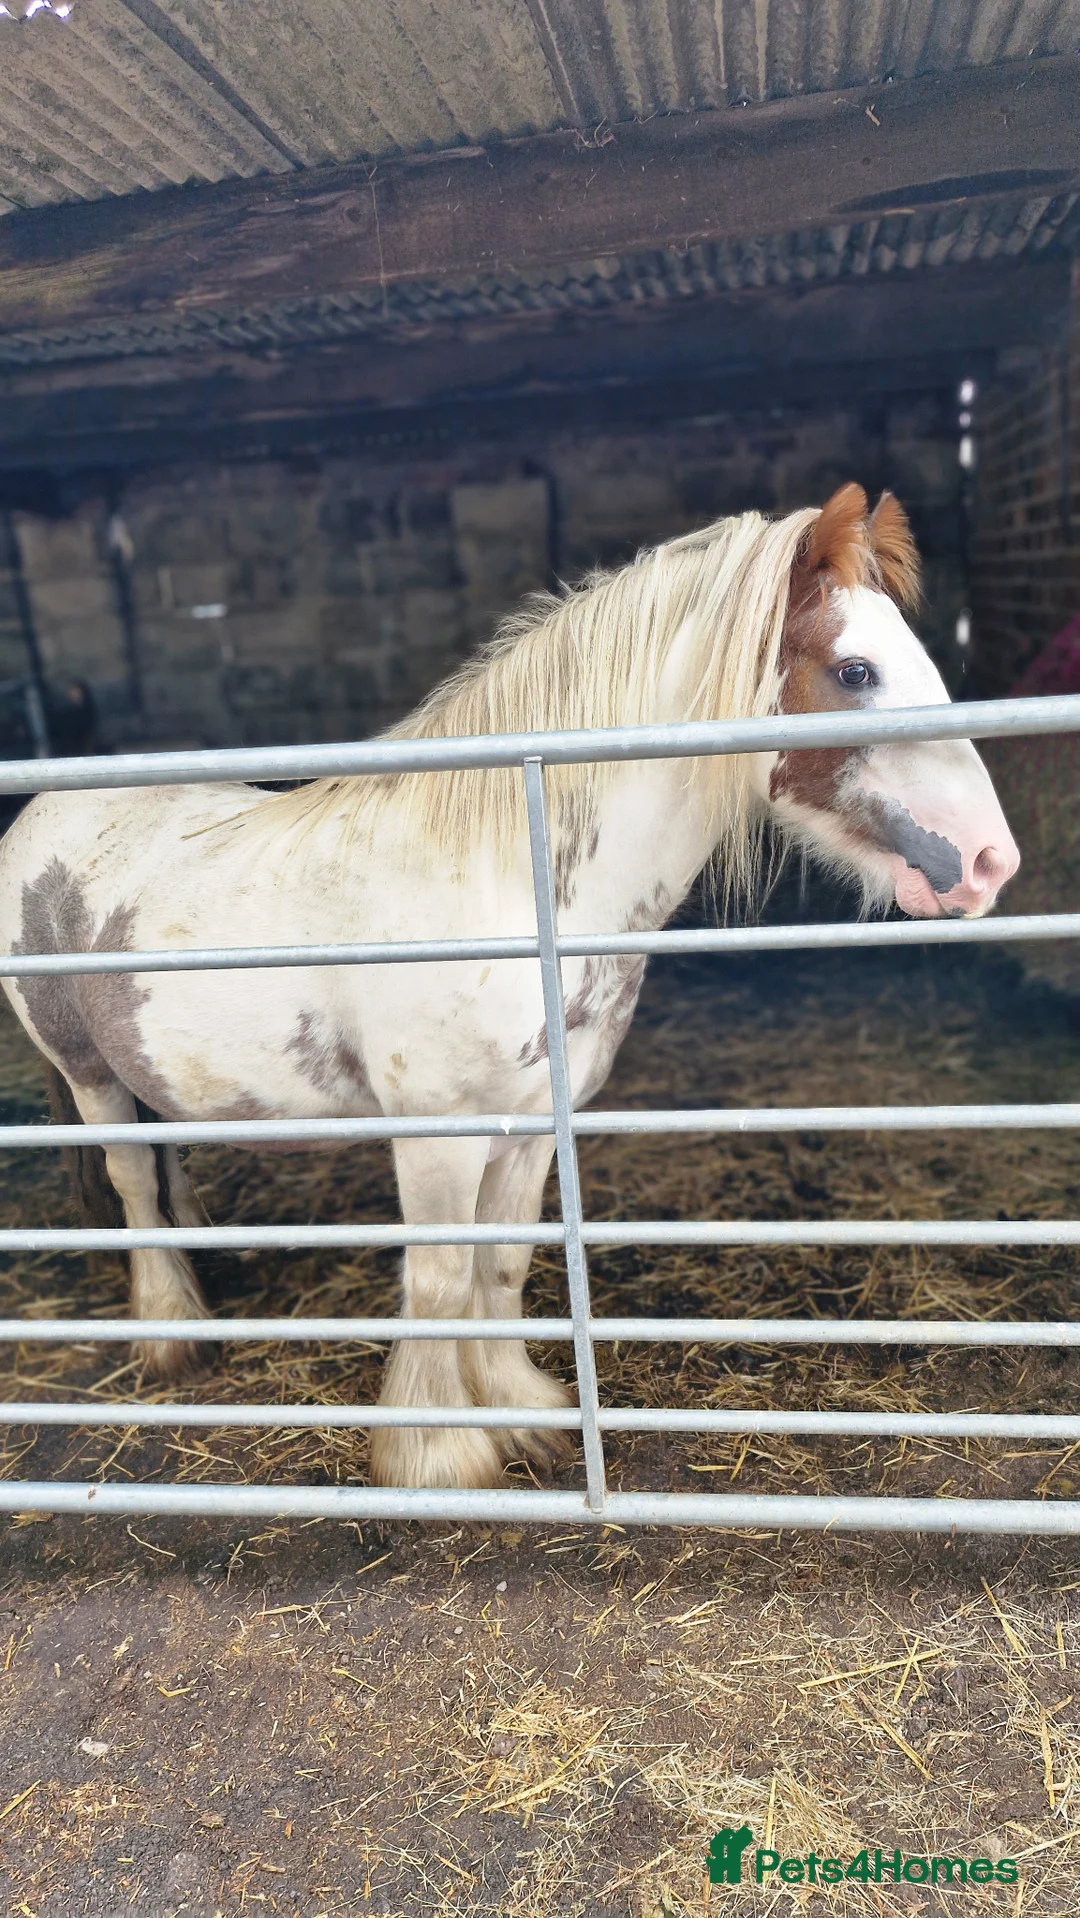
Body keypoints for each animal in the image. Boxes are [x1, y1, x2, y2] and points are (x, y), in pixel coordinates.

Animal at [0, 483, 1019, 1490]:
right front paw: (437, 1452)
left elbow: (500, 1267)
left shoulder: (530, 1127)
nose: (988, 862)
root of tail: (43, 812)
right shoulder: (440, 1136)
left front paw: (521, 1410)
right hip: (87, 1070)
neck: (506, 884)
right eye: (856, 673)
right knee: (133, 1181)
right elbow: (440, 1280)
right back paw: (174, 1335)